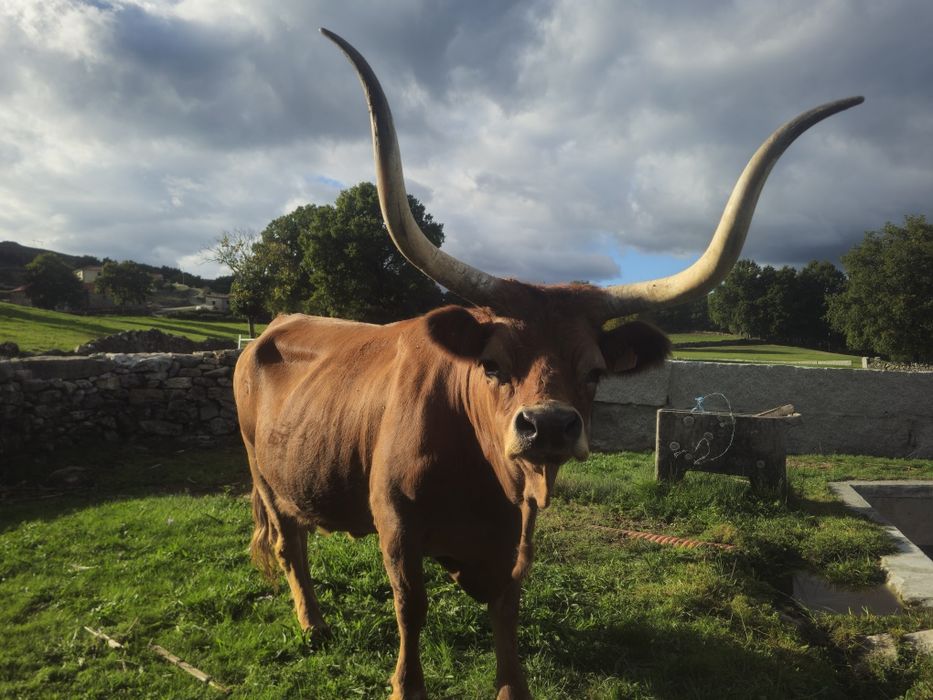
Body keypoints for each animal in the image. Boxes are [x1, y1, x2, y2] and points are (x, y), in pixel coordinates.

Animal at [233, 28, 862, 700]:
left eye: (594, 371)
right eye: (491, 364)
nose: (550, 426)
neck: (480, 475)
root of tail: (272, 326)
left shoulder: (514, 533)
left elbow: (507, 607)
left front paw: (512, 685)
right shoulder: (397, 527)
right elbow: (410, 608)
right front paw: (407, 684)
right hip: (264, 474)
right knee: (291, 544)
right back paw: (313, 624)